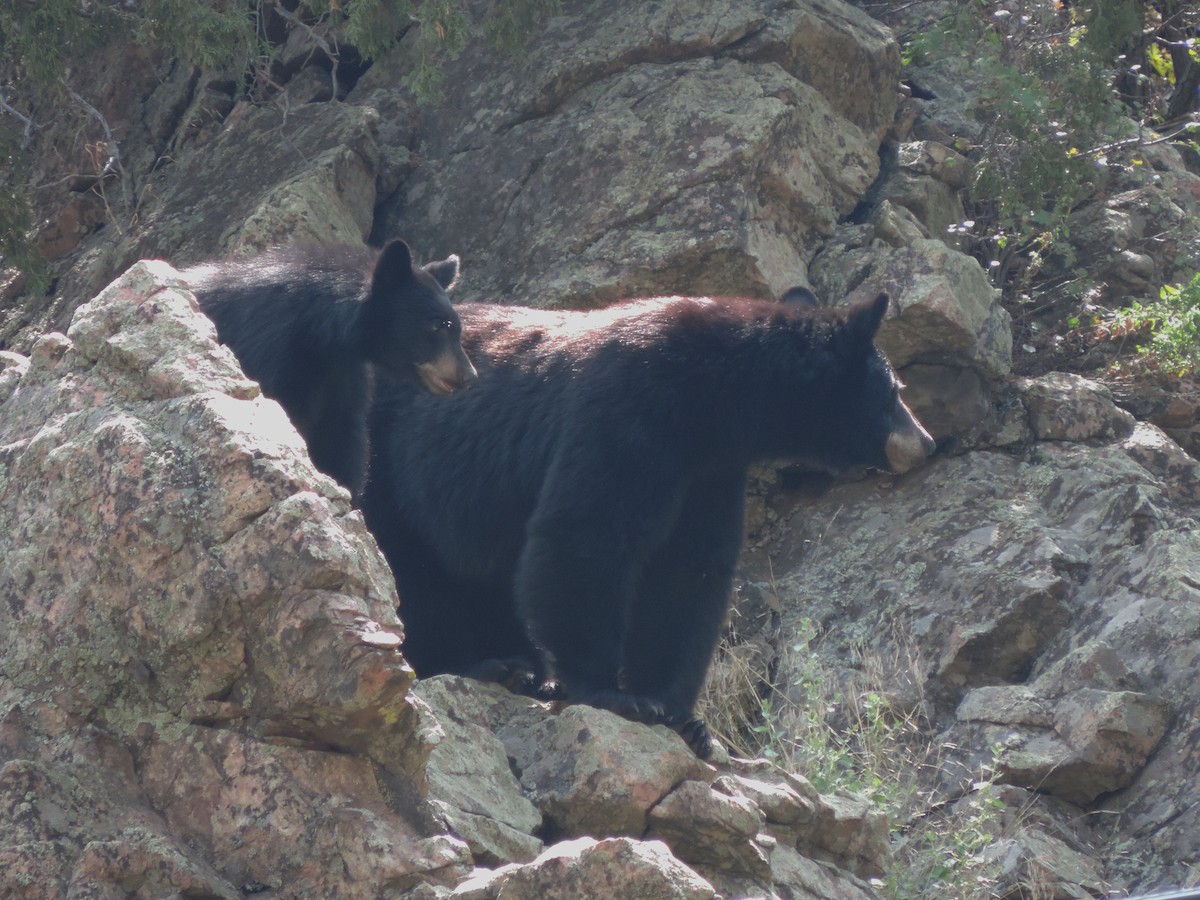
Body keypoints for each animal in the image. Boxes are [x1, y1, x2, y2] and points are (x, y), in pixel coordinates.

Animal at [184, 239, 477, 499]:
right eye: (439, 325)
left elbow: (341, 440)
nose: (469, 375)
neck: (321, 334)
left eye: (457, 327)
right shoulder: (269, 347)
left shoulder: (343, 375)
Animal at [359, 290, 935, 757]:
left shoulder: (708, 470)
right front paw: (612, 692)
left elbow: (688, 570)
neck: (716, 394)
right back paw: (482, 664)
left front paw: (680, 716)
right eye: (895, 389)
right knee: (410, 569)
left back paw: (519, 668)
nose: (927, 441)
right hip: (386, 459)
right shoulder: (628, 411)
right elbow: (588, 532)